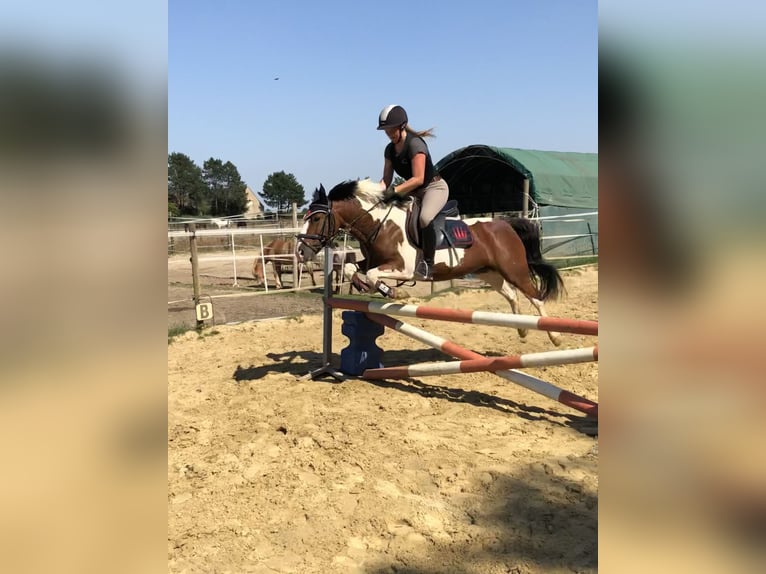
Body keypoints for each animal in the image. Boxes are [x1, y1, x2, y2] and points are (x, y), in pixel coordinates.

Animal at [296, 182, 568, 346]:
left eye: (317, 218)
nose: (300, 251)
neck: (380, 225)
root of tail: (505, 224)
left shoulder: (403, 268)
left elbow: (374, 275)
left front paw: (395, 292)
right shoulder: (373, 260)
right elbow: (353, 268)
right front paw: (366, 288)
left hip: (514, 269)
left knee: (536, 297)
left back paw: (554, 337)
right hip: (489, 273)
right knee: (512, 295)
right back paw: (522, 330)